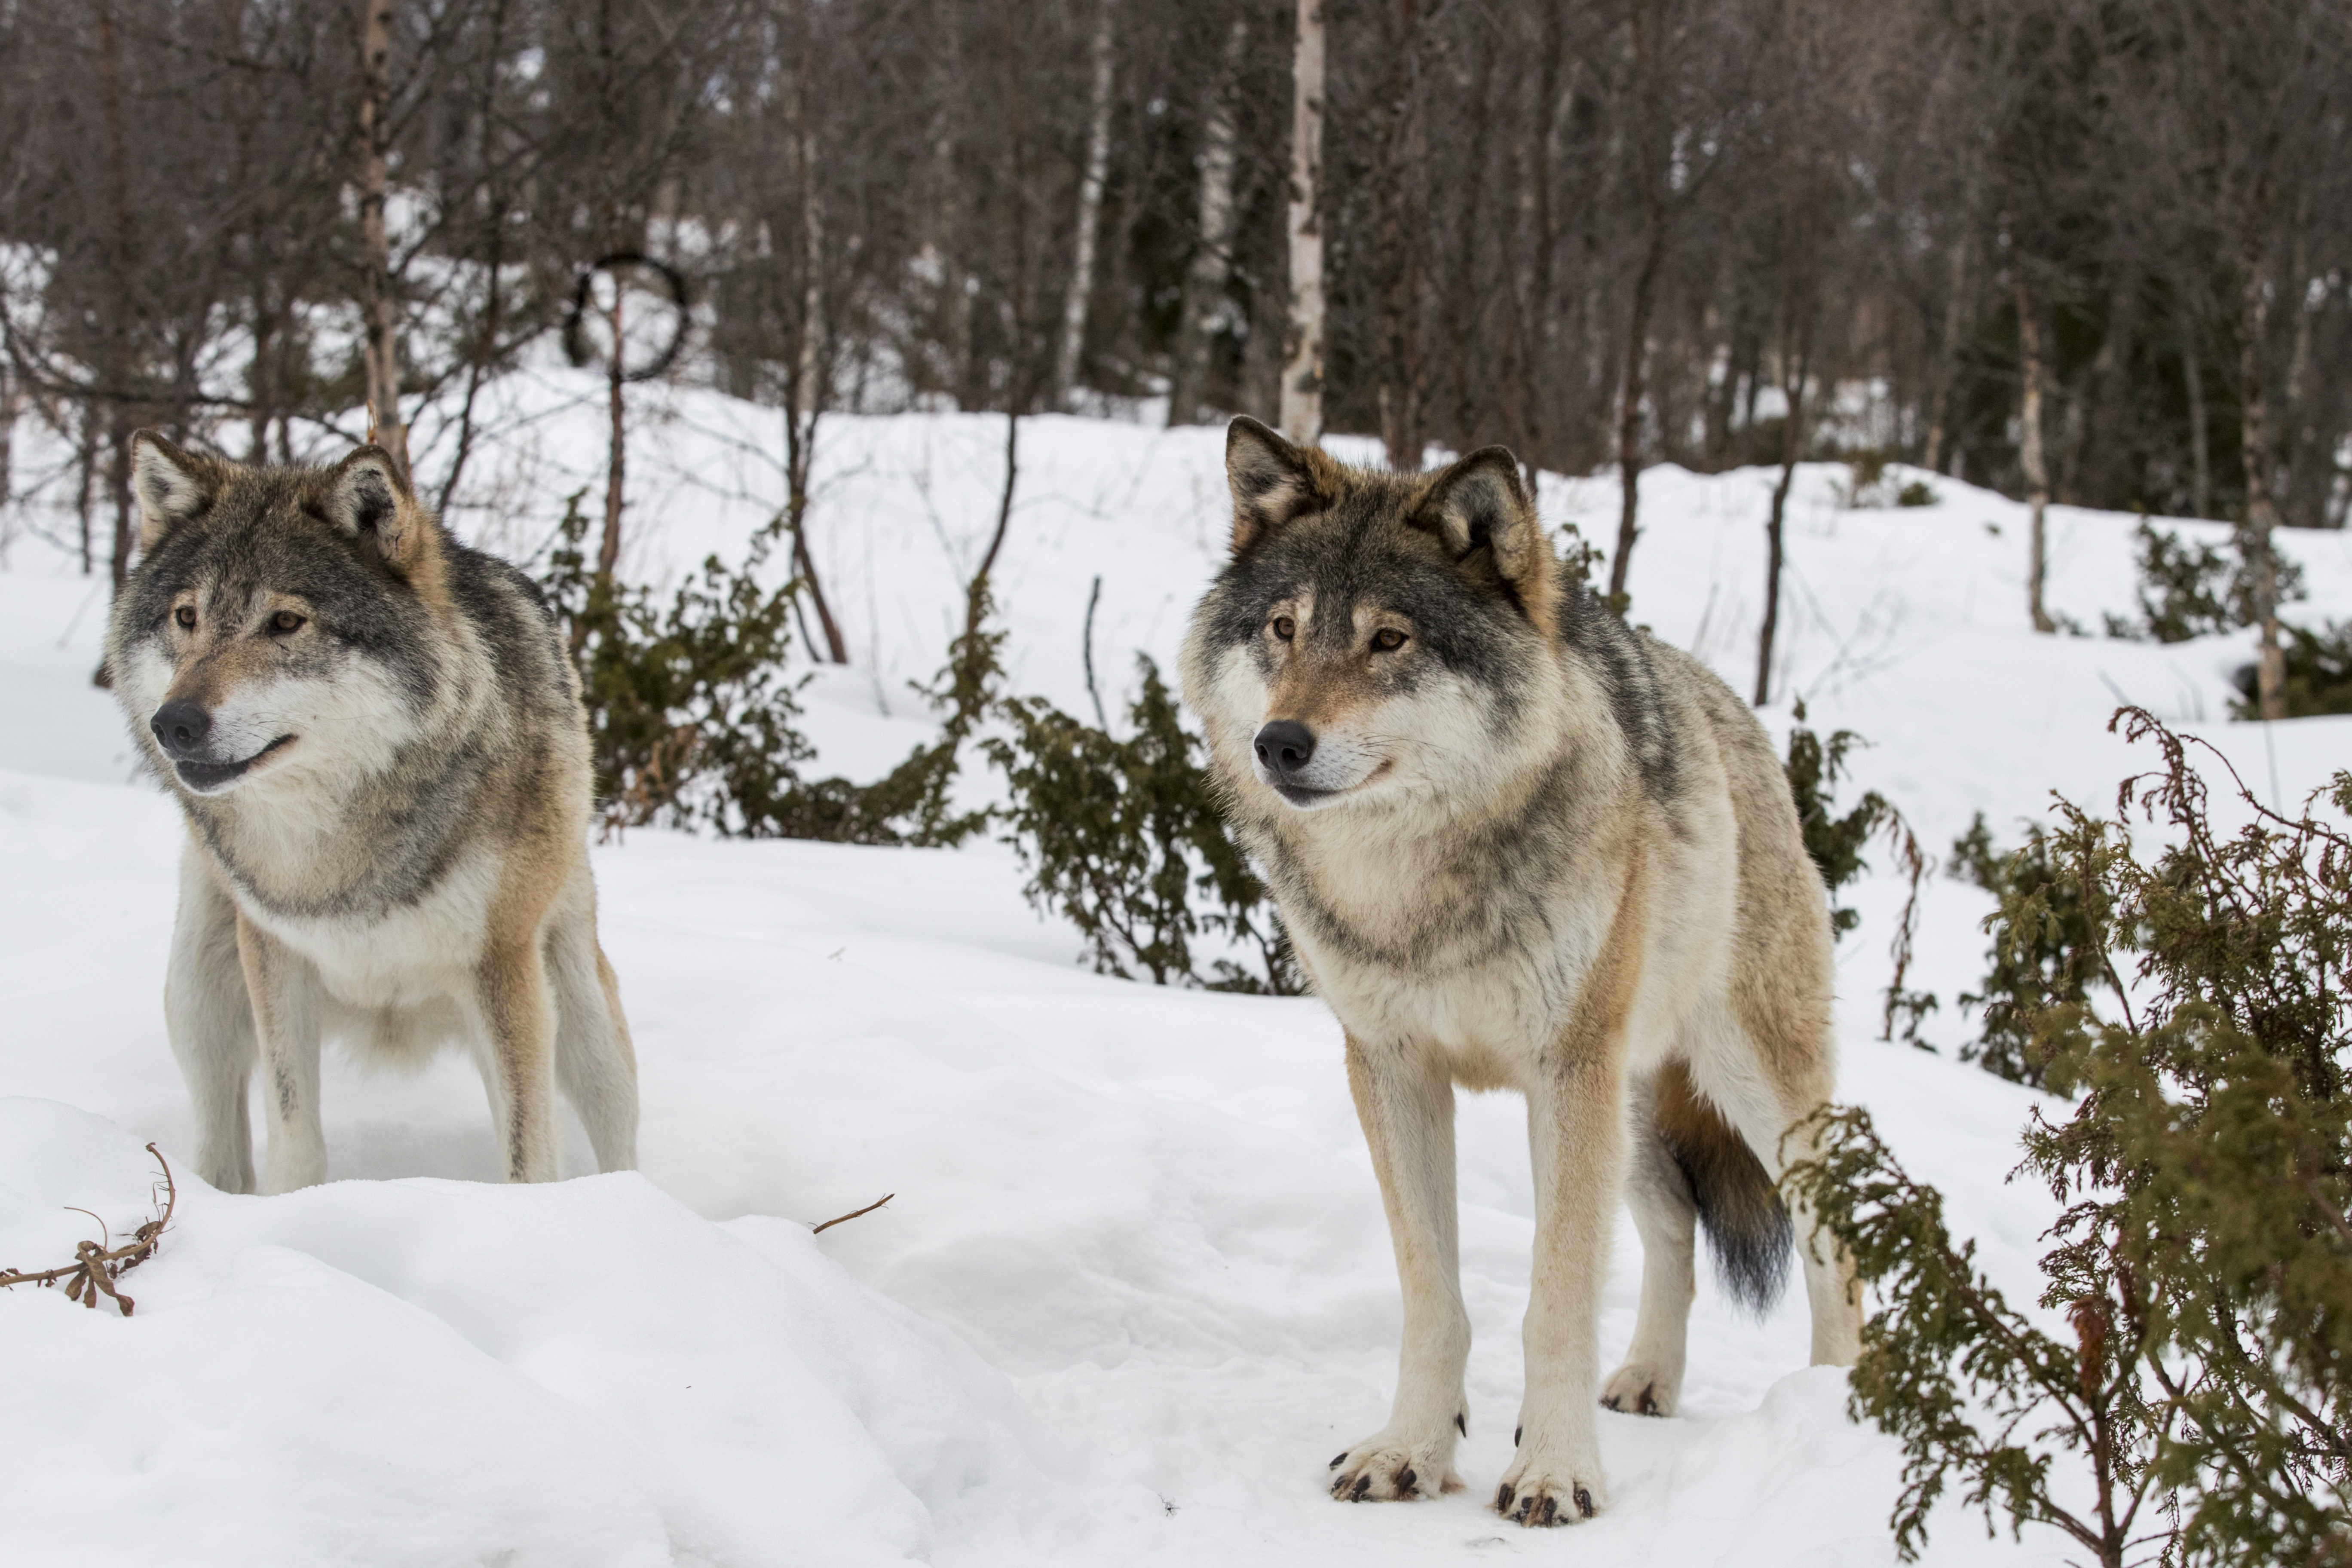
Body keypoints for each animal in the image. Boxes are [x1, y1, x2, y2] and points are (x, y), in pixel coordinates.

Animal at [107, 435, 640, 1194]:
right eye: (187, 617)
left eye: (286, 622)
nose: (173, 723)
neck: (340, 840)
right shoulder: (276, 959)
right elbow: (294, 1135)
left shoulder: (503, 968)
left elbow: (527, 1156)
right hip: (198, 989)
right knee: (220, 1138)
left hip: (582, 1015)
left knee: (614, 1130)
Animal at [1185, 423, 1862, 1523]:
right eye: (1283, 629)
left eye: (1389, 641)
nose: (1278, 742)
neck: (1413, 886)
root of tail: (1729, 708)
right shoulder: (1393, 1068)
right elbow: (1433, 1295)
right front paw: (1408, 1453)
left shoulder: (1563, 1074)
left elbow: (1554, 1303)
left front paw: (1554, 1472)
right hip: (1632, 1109)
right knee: (1673, 1230)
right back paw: (1647, 1382)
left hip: (1748, 1090)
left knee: (1828, 1232)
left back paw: (1837, 1404)